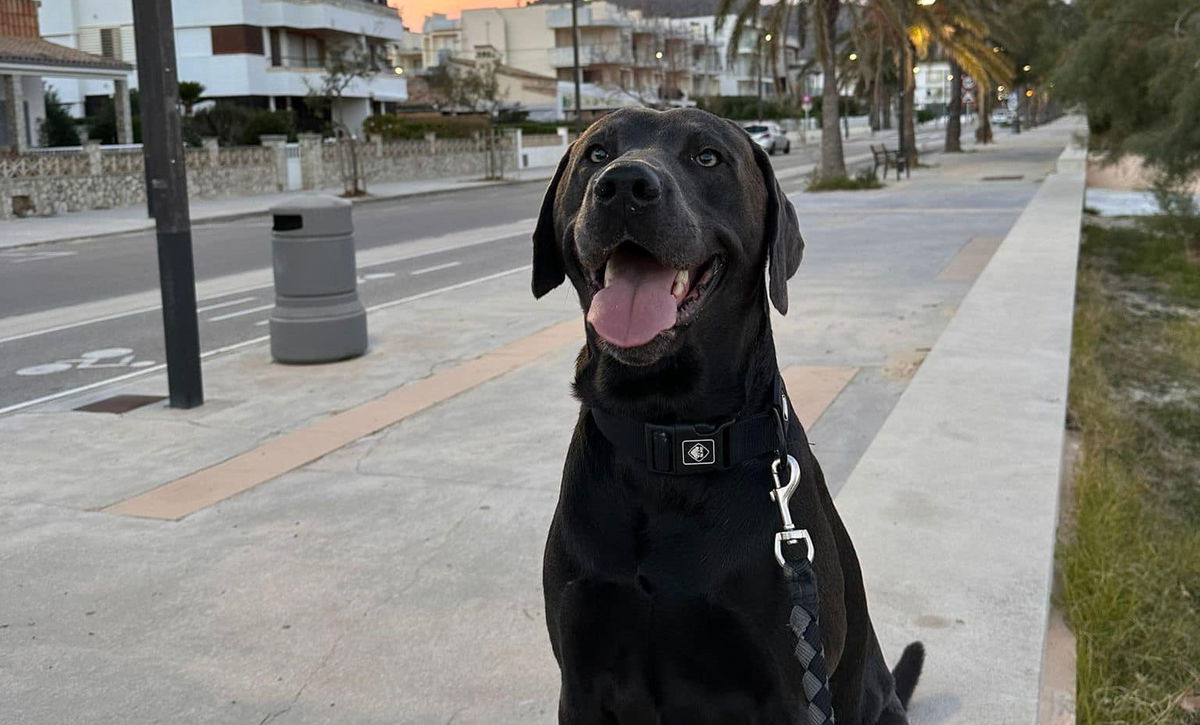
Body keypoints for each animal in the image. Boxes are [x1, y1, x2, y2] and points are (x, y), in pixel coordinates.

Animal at [532, 109, 916, 725]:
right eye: (596, 154)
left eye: (707, 157)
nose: (624, 185)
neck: (671, 439)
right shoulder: (581, 681)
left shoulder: (788, 689)